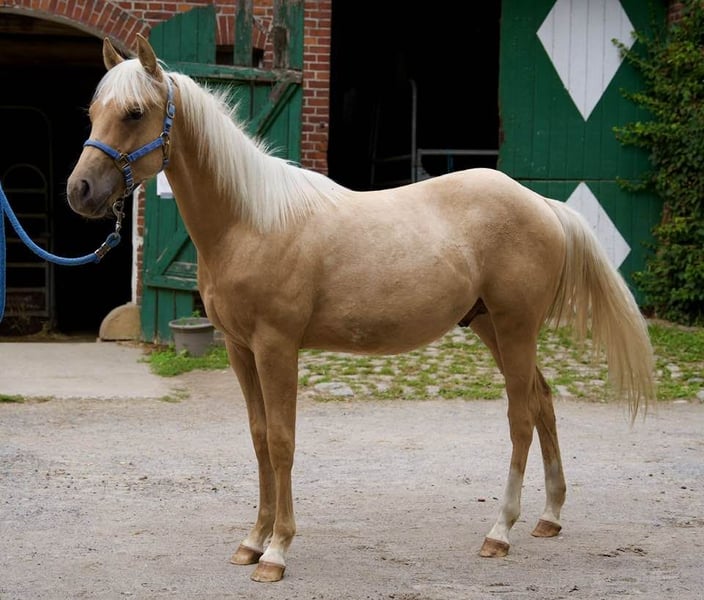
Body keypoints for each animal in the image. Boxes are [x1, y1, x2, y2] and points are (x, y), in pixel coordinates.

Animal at [66, 34, 656, 583]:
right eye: (94, 112)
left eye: (134, 112)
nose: (80, 190)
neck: (250, 221)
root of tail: (544, 204)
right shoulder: (239, 349)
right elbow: (258, 439)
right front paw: (251, 541)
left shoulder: (277, 347)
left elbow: (281, 441)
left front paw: (276, 552)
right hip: (492, 326)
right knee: (543, 402)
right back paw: (549, 516)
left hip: (515, 328)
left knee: (520, 418)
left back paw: (500, 531)